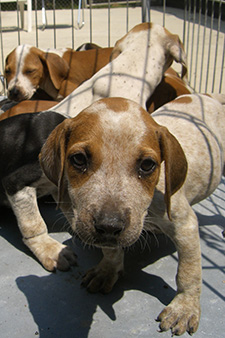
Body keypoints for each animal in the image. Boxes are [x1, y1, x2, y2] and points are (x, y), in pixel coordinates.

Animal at [40, 94, 225, 336]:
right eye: (78, 159)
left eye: (147, 165)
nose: (109, 225)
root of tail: (210, 96)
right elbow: (111, 251)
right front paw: (107, 271)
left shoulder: (185, 226)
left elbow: (189, 271)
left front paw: (184, 307)